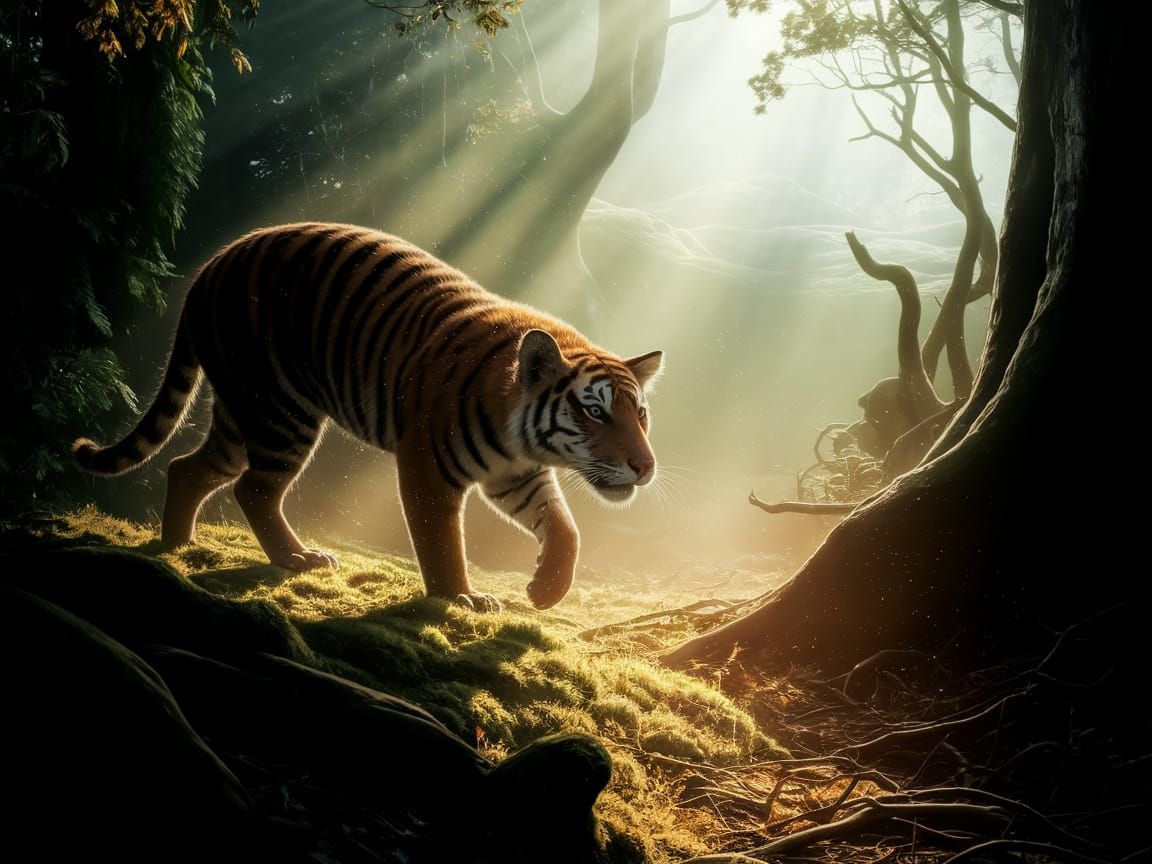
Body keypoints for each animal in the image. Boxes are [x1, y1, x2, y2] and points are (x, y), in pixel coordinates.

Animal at [73, 222, 663, 611]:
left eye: (640, 414)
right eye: (594, 411)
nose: (645, 468)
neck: (523, 438)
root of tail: (208, 268)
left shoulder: (516, 476)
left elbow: (564, 529)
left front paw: (546, 589)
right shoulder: (428, 463)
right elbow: (440, 539)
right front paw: (459, 597)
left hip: (242, 416)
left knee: (189, 469)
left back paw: (177, 546)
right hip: (279, 411)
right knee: (253, 489)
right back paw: (296, 559)